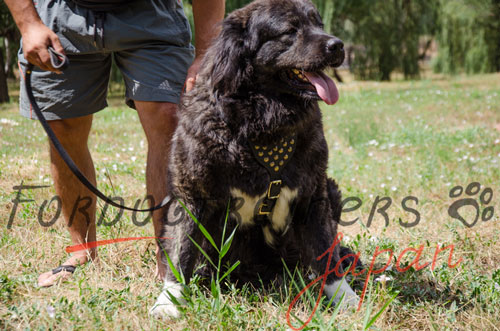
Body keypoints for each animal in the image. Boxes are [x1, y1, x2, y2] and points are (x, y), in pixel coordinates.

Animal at [150, 0, 358, 318]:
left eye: (318, 24)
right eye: (289, 30)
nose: (337, 45)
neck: (262, 122)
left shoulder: (314, 193)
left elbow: (325, 250)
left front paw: (344, 297)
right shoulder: (191, 195)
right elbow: (181, 249)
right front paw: (169, 300)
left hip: (331, 191)